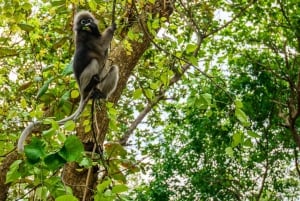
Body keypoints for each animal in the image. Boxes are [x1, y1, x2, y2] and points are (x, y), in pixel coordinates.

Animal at [17, 11, 118, 152]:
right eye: (83, 22)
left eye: (88, 20)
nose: (87, 23)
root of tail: (82, 92)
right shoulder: (85, 36)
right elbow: (101, 46)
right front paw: (112, 27)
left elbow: (105, 52)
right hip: (83, 81)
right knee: (93, 62)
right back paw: (89, 86)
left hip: (101, 83)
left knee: (114, 68)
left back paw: (100, 94)